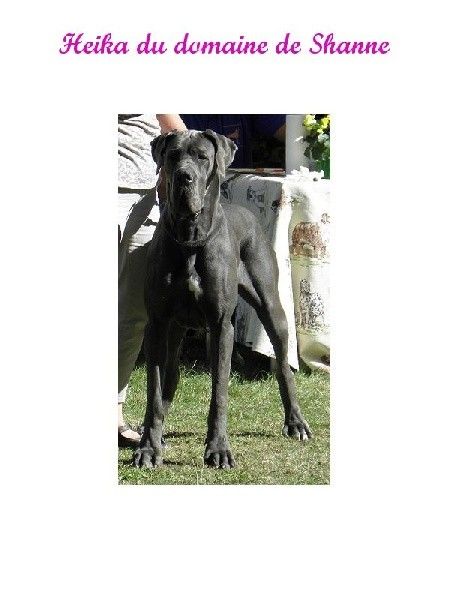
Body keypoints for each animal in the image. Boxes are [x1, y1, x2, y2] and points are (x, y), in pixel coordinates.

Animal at [133, 130, 311, 469]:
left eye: (202, 156)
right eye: (172, 156)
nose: (184, 177)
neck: (190, 238)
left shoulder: (221, 326)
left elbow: (219, 392)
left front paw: (218, 449)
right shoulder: (158, 325)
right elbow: (154, 390)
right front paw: (149, 447)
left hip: (272, 307)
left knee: (283, 366)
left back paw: (295, 422)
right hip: (175, 331)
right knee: (171, 376)